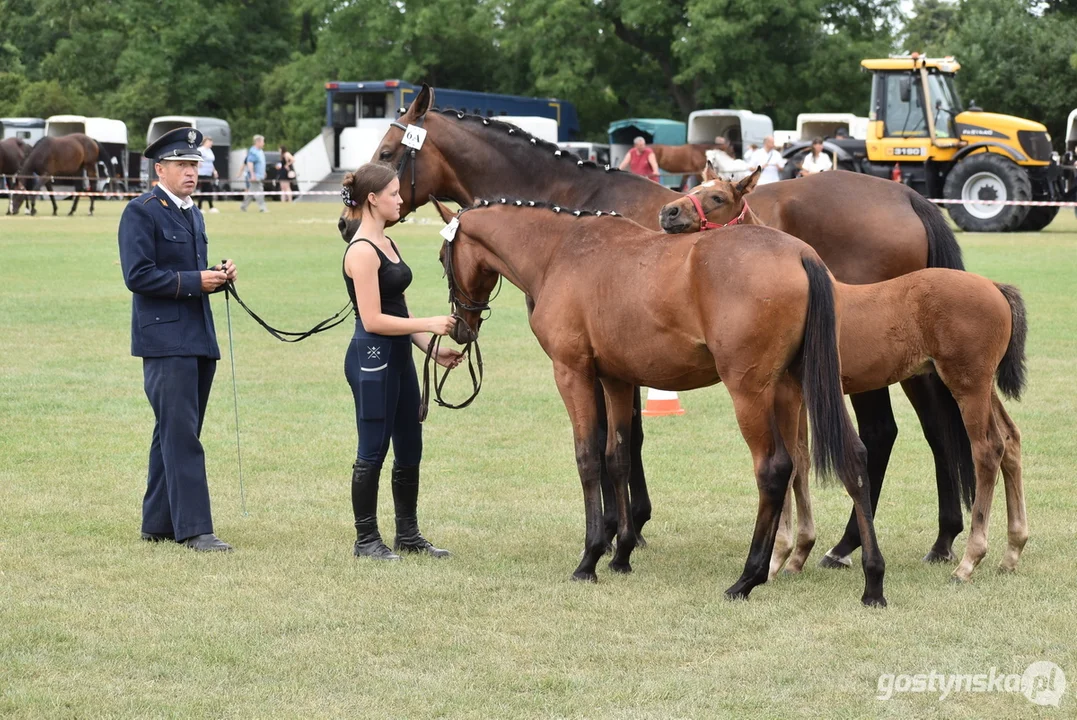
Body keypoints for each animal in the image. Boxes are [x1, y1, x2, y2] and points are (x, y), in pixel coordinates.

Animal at [428, 196, 883, 606]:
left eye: (442, 258)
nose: (460, 327)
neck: (559, 253)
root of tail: (801, 254)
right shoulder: (616, 380)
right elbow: (618, 458)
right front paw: (622, 555)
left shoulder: (572, 373)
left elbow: (588, 458)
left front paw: (590, 558)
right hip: (803, 383)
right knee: (854, 458)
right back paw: (872, 581)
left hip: (750, 391)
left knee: (774, 470)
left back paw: (747, 578)